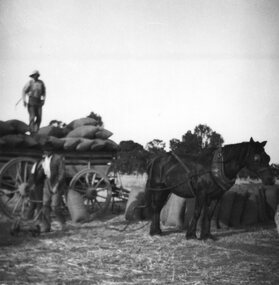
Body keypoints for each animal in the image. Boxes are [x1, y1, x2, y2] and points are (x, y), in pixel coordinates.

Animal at [147, 138, 276, 240]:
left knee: (158, 208)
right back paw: (155, 232)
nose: (270, 180)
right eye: (256, 158)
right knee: (156, 207)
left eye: (268, 157)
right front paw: (191, 235)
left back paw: (157, 231)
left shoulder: (216, 196)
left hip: (165, 190)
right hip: (158, 189)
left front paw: (207, 235)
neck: (214, 168)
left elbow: (209, 214)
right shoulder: (201, 193)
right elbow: (197, 213)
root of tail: (156, 159)